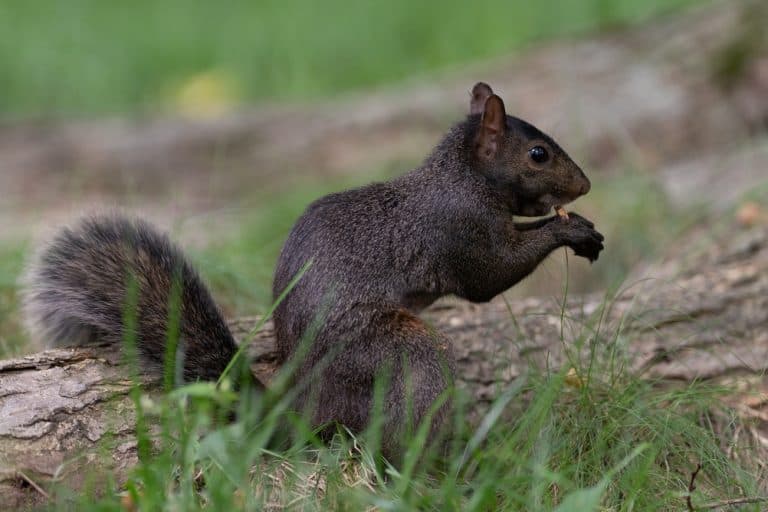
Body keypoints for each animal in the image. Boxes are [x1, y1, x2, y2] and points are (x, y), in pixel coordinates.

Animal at [22, 82, 603, 461]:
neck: (463, 179)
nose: (586, 185)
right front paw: (569, 230)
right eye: (538, 154)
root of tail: (299, 404)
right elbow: (488, 279)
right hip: (389, 353)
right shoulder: (459, 232)